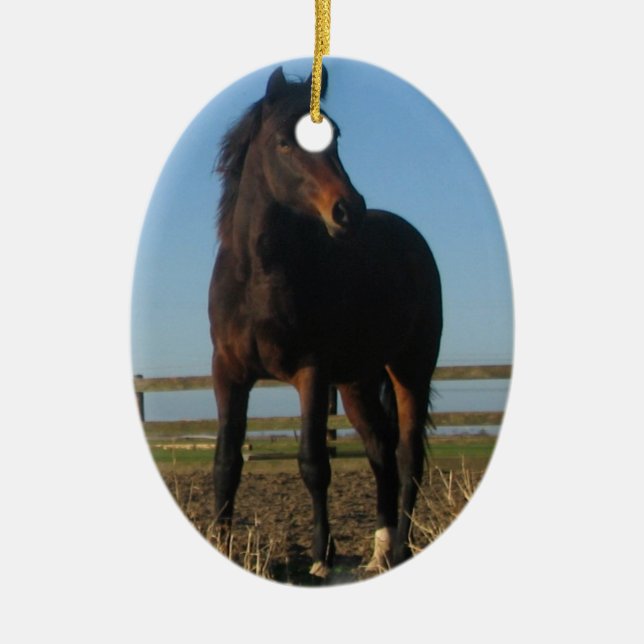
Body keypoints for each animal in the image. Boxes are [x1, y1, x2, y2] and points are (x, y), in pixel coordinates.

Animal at [209, 66, 443, 577]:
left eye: (336, 137)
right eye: (284, 142)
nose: (348, 210)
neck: (258, 276)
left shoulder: (310, 373)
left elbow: (313, 463)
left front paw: (321, 560)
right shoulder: (228, 375)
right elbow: (226, 463)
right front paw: (221, 543)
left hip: (411, 369)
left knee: (408, 456)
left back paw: (401, 549)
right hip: (357, 383)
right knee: (380, 452)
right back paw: (378, 552)